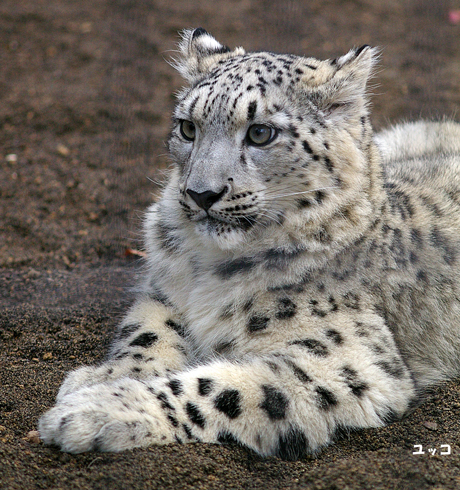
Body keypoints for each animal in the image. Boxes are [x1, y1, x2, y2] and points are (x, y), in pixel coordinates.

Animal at [38, 28, 460, 462]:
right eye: (187, 127)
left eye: (260, 132)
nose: (201, 193)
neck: (206, 268)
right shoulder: (163, 291)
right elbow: (147, 332)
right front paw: (103, 378)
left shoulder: (349, 361)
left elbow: (220, 387)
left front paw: (95, 410)